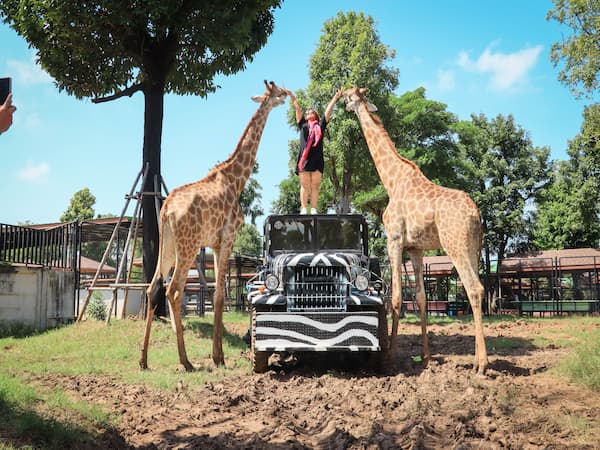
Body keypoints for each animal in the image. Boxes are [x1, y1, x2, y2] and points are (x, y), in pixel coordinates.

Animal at [142, 81, 290, 372]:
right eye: (278, 90)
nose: (289, 95)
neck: (235, 179)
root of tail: (166, 209)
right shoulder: (227, 238)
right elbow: (221, 296)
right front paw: (218, 357)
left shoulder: (214, 243)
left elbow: (215, 295)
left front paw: (218, 355)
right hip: (187, 246)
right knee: (173, 290)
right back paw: (186, 361)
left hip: (168, 245)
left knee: (153, 288)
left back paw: (143, 360)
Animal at [342, 88, 488, 376]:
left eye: (352, 94)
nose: (342, 100)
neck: (392, 180)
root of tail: (476, 213)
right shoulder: (416, 249)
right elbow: (420, 297)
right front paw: (427, 359)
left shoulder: (394, 240)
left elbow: (396, 298)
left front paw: (389, 359)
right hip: (473, 248)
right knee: (476, 287)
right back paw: (477, 361)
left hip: (455, 245)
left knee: (474, 288)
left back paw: (482, 366)